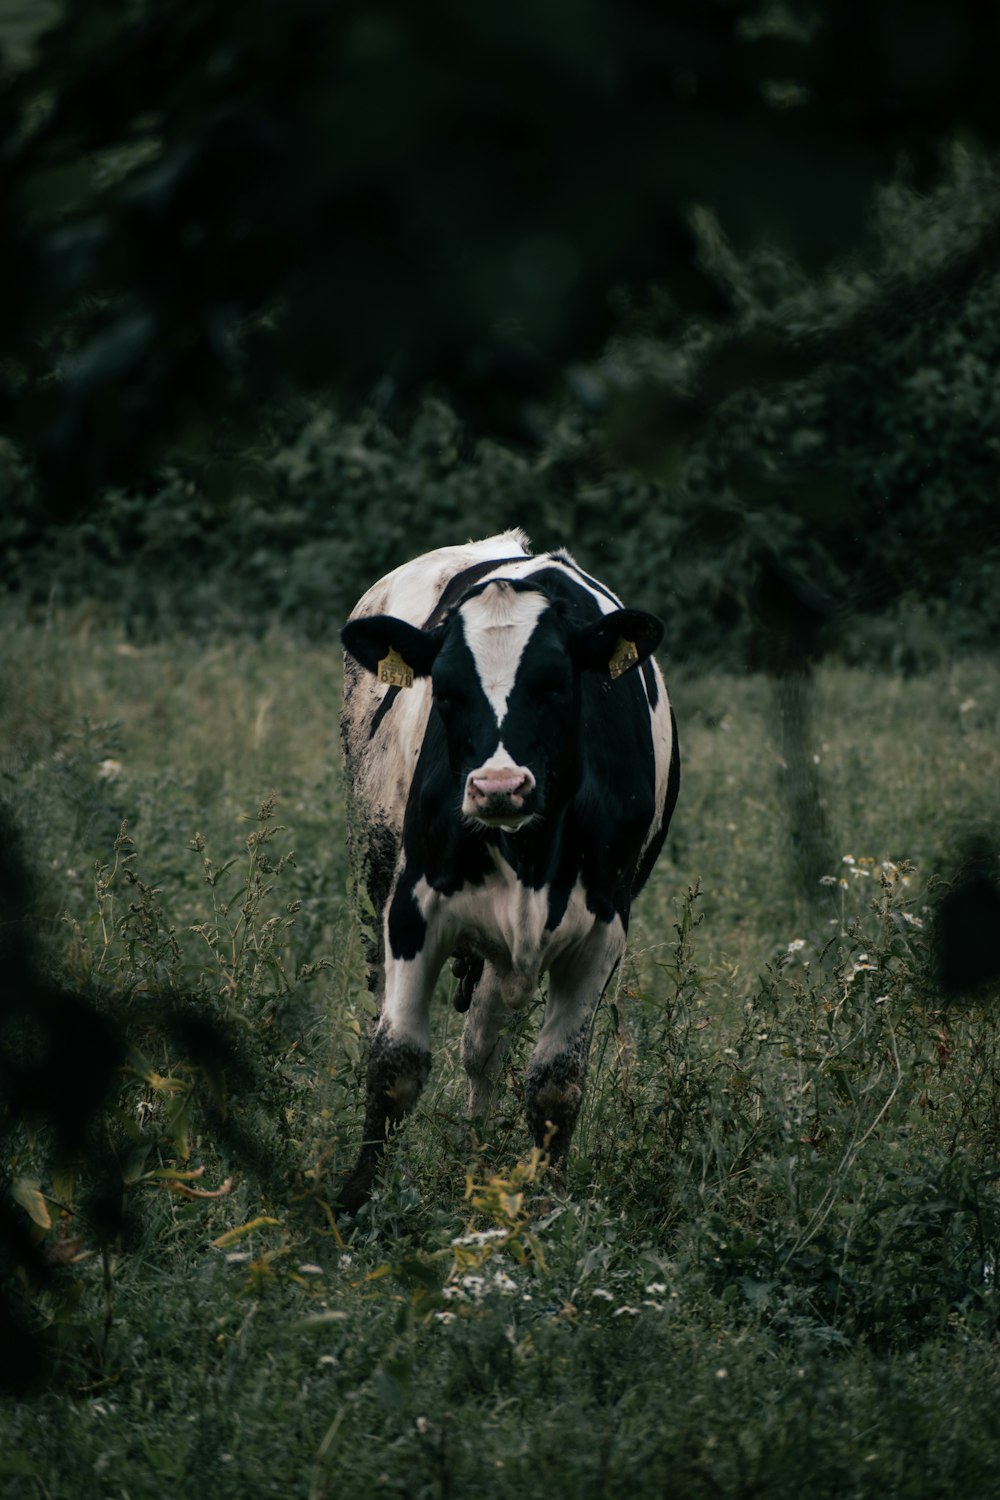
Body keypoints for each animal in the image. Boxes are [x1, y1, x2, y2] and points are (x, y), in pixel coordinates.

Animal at [338, 534, 680, 1212]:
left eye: (556, 686)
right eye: (445, 692)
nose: (499, 787)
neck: (533, 855)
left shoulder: (603, 929)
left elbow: (556, 1083)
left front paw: (546, 1206)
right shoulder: (412, 908)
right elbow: (394, 1063)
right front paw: (356, 1199)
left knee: (482, 1047)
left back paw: (475, 1155)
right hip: (375, 872)